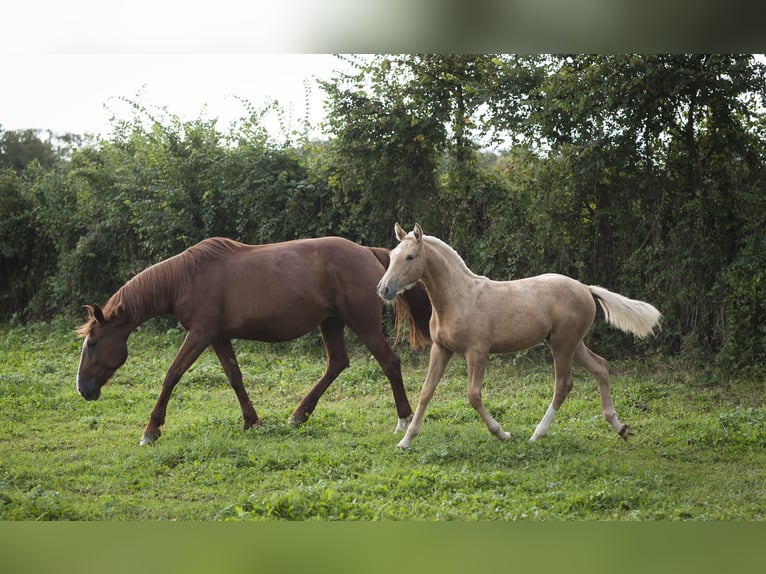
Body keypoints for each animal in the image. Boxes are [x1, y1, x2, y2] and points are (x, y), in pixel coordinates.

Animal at [80, 236, 436, 448]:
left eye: (93, 343)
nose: (83, 389)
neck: (186, 278)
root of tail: (368, 252)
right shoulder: (218, 337)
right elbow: (235, 377)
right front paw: (251, 420)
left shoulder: (199, 335)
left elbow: (172, 374)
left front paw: (151, 430)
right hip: (331, 322)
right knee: (337, 363)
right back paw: (299, 414)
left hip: (362, 323)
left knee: (389, 362)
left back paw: (404, 420)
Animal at [378, 225, 660, 450]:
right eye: (392, 256)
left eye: (410, 257)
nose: (384, 289)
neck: (459, 297)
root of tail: (586, 288)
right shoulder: (440, 349)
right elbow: (426, 391)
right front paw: (405, 440)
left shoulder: (477, 352)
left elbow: (473, 395)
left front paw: (502, 433)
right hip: (572, 343)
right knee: (600, 367)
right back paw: (620, 427)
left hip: (563, 345)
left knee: (563, 384)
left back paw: (537, 434)